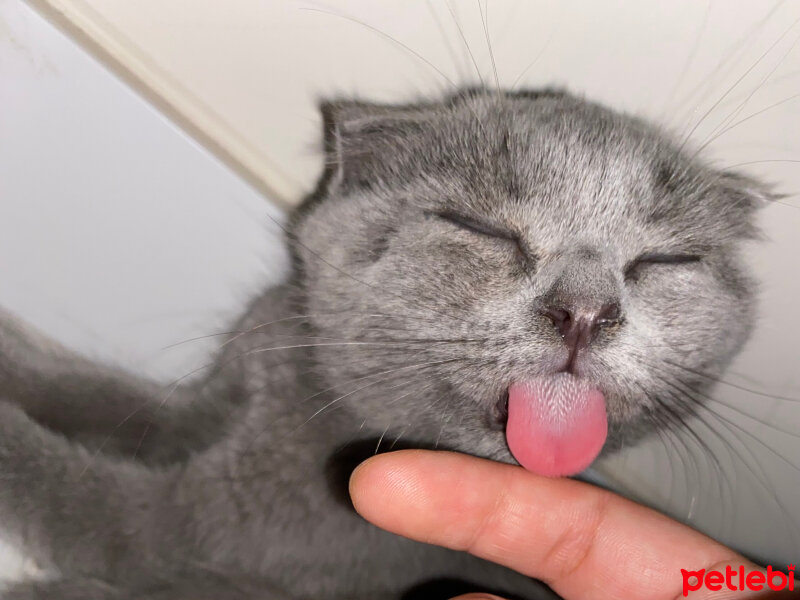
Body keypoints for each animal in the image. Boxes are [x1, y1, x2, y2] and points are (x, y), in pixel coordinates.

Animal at [0, 86, 776, 596]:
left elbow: (79, 496)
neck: (310, 398)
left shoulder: (206, 530)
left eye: (664, 262)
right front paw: (12, 354)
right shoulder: (210, 402)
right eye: (479, 228)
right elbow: (101, 395)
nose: (585, 312)